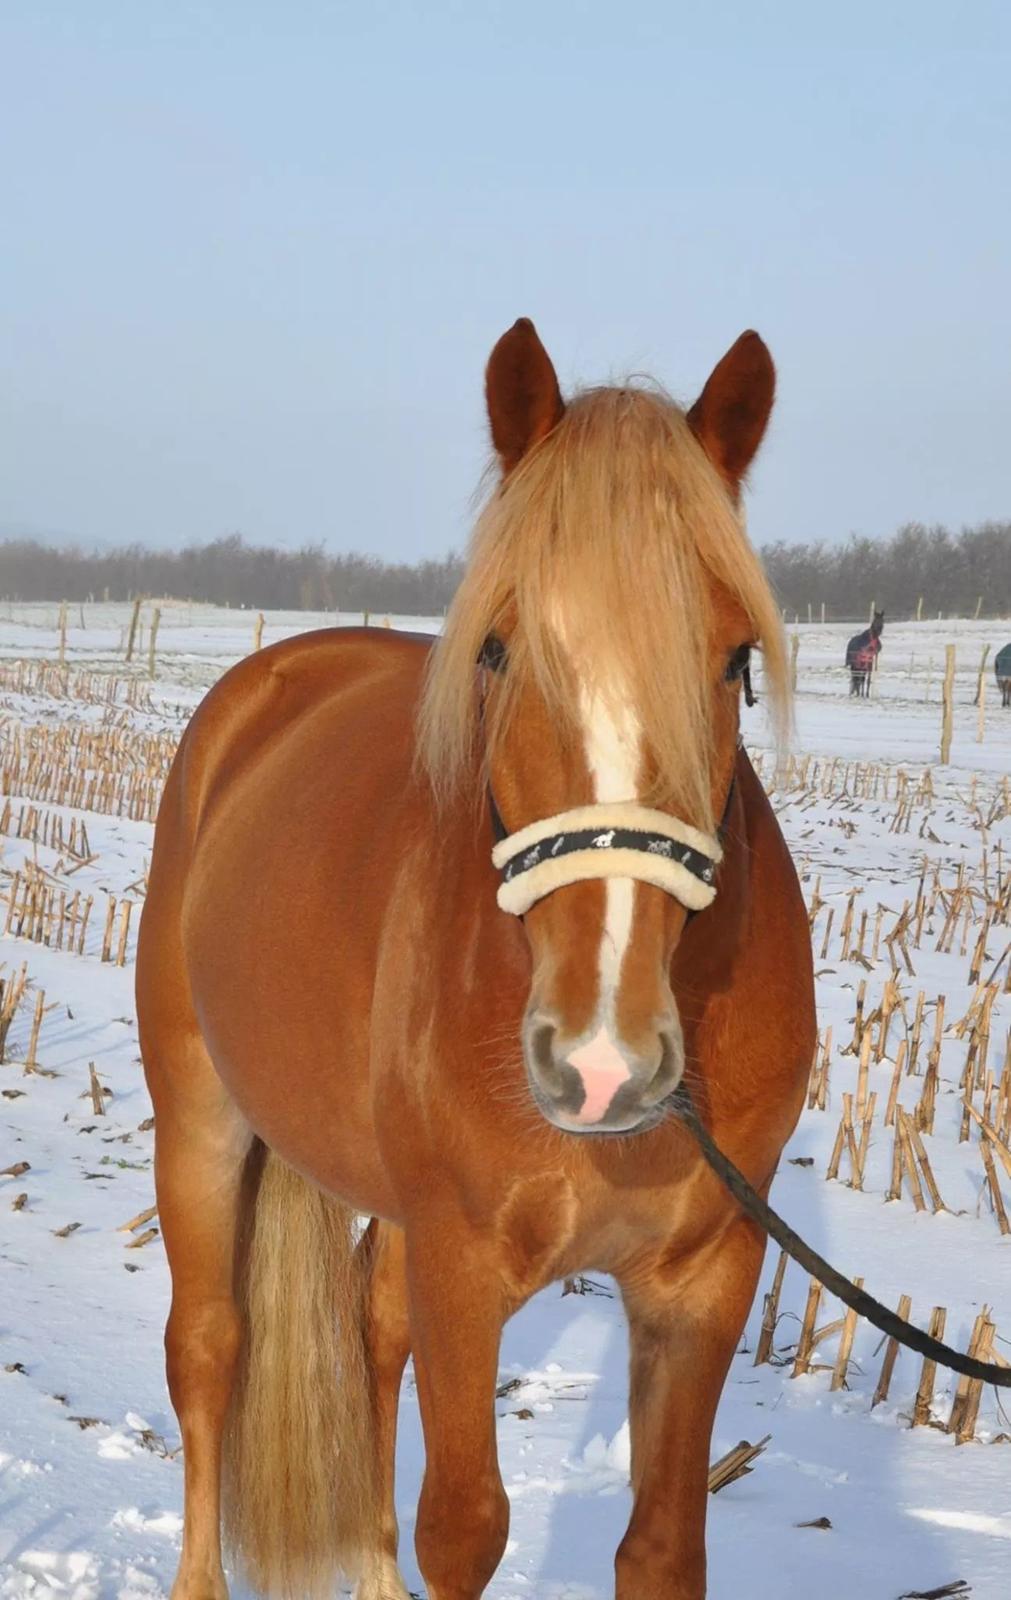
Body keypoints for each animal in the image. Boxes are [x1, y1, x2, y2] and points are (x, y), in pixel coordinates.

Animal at [135, 321, 812, 1600]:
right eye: (497, 649)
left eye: (735, 657)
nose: (601, 1062)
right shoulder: (462, 1267)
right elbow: (463, 1525)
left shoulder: (703, 1283)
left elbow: (662, 1544)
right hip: (199, 1117)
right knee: (206, 1350)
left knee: (368, 1323)